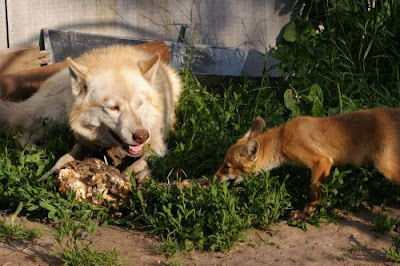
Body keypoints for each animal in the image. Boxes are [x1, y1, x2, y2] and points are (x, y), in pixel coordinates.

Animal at [216, 107, 400, 221]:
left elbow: (312, 195)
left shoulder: (322, 161)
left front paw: (304, 215)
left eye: (227, 166)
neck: (282, 140)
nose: (214, 178)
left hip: (386, 167)